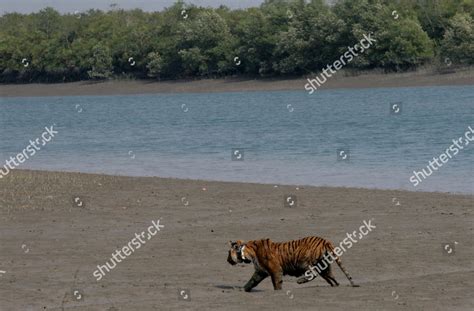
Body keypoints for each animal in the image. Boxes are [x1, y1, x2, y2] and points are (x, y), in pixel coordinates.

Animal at [228, 236, 358, 292]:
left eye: (229, 253)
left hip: (305, 262)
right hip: (324, 265)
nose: (227, 260)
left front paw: (278, 291)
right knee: (330, 275)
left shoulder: (275, 270)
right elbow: (251, 281)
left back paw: (300, 281)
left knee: (314, 273)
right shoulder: (260, 271)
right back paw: (335, 284)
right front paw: (243, 290)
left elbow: (276, 282)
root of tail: (324, 240)